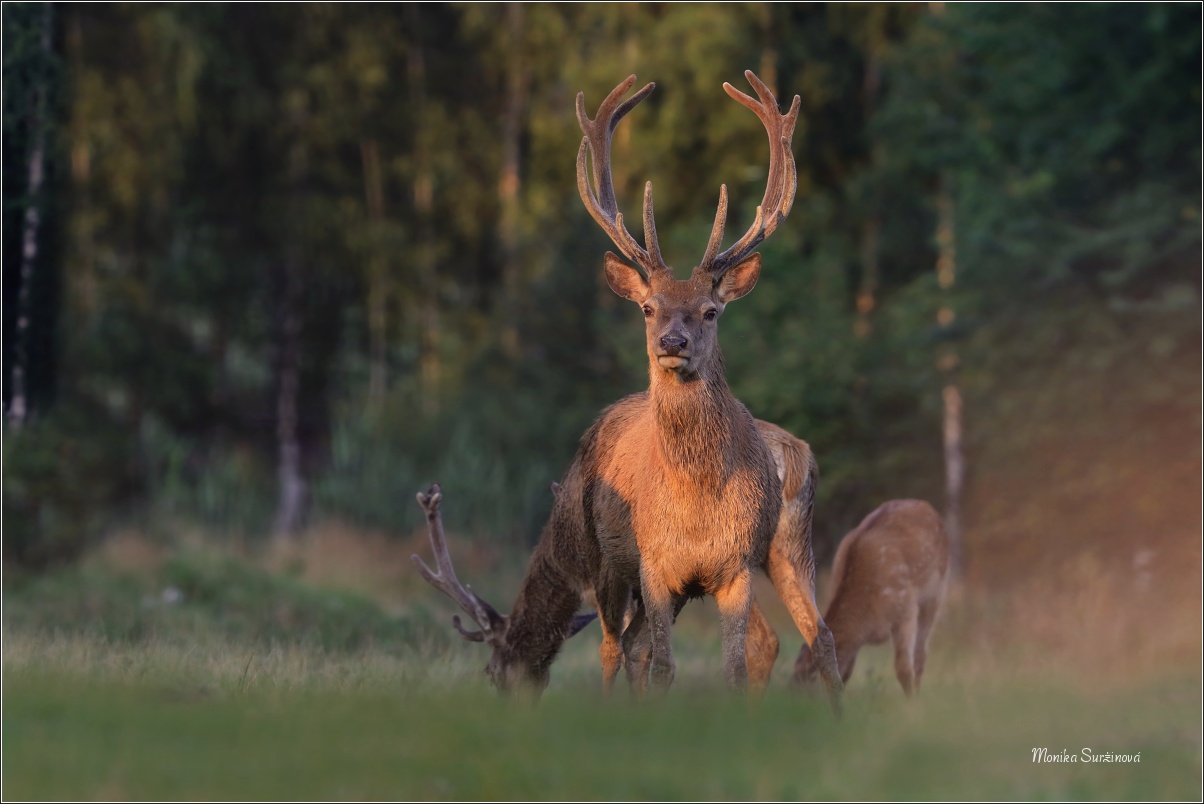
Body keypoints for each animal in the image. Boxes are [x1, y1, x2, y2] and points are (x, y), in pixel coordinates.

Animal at [794, 495, 953, 698]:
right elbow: (846, 671)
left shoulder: (906, 609)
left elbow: (903, 669)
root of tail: (928, 507)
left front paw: (912, 705)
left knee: (921, 653)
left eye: (806, 693)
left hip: (936, 590)